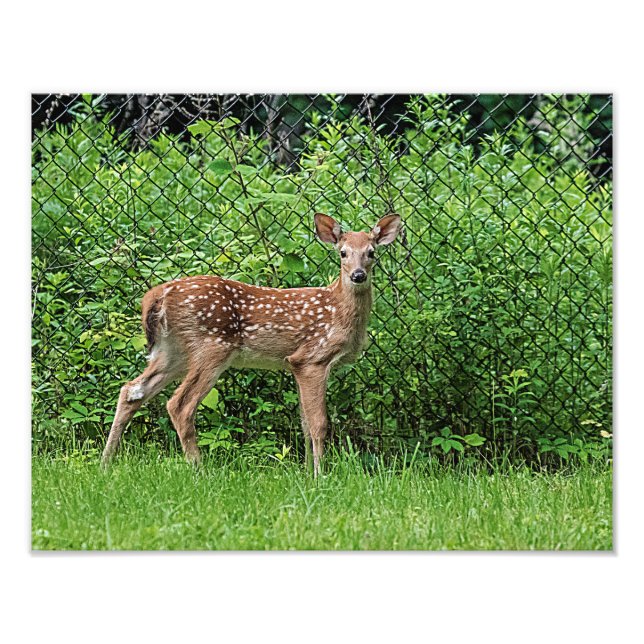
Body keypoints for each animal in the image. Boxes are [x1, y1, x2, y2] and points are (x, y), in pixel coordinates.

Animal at [101, 212, 402, 475]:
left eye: (371, 252)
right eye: (342, 253)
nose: (358, 275)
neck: (338, 310)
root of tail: (158, 294)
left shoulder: (294, 364)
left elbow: (304, 423)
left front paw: (306, 473)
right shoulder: (312, 357)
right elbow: (319, 424)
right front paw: (320, 475)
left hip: (173, 351)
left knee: (132, 390)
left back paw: (106, 463)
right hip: (211, 346)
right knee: (179, 405)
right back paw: (199, 470)